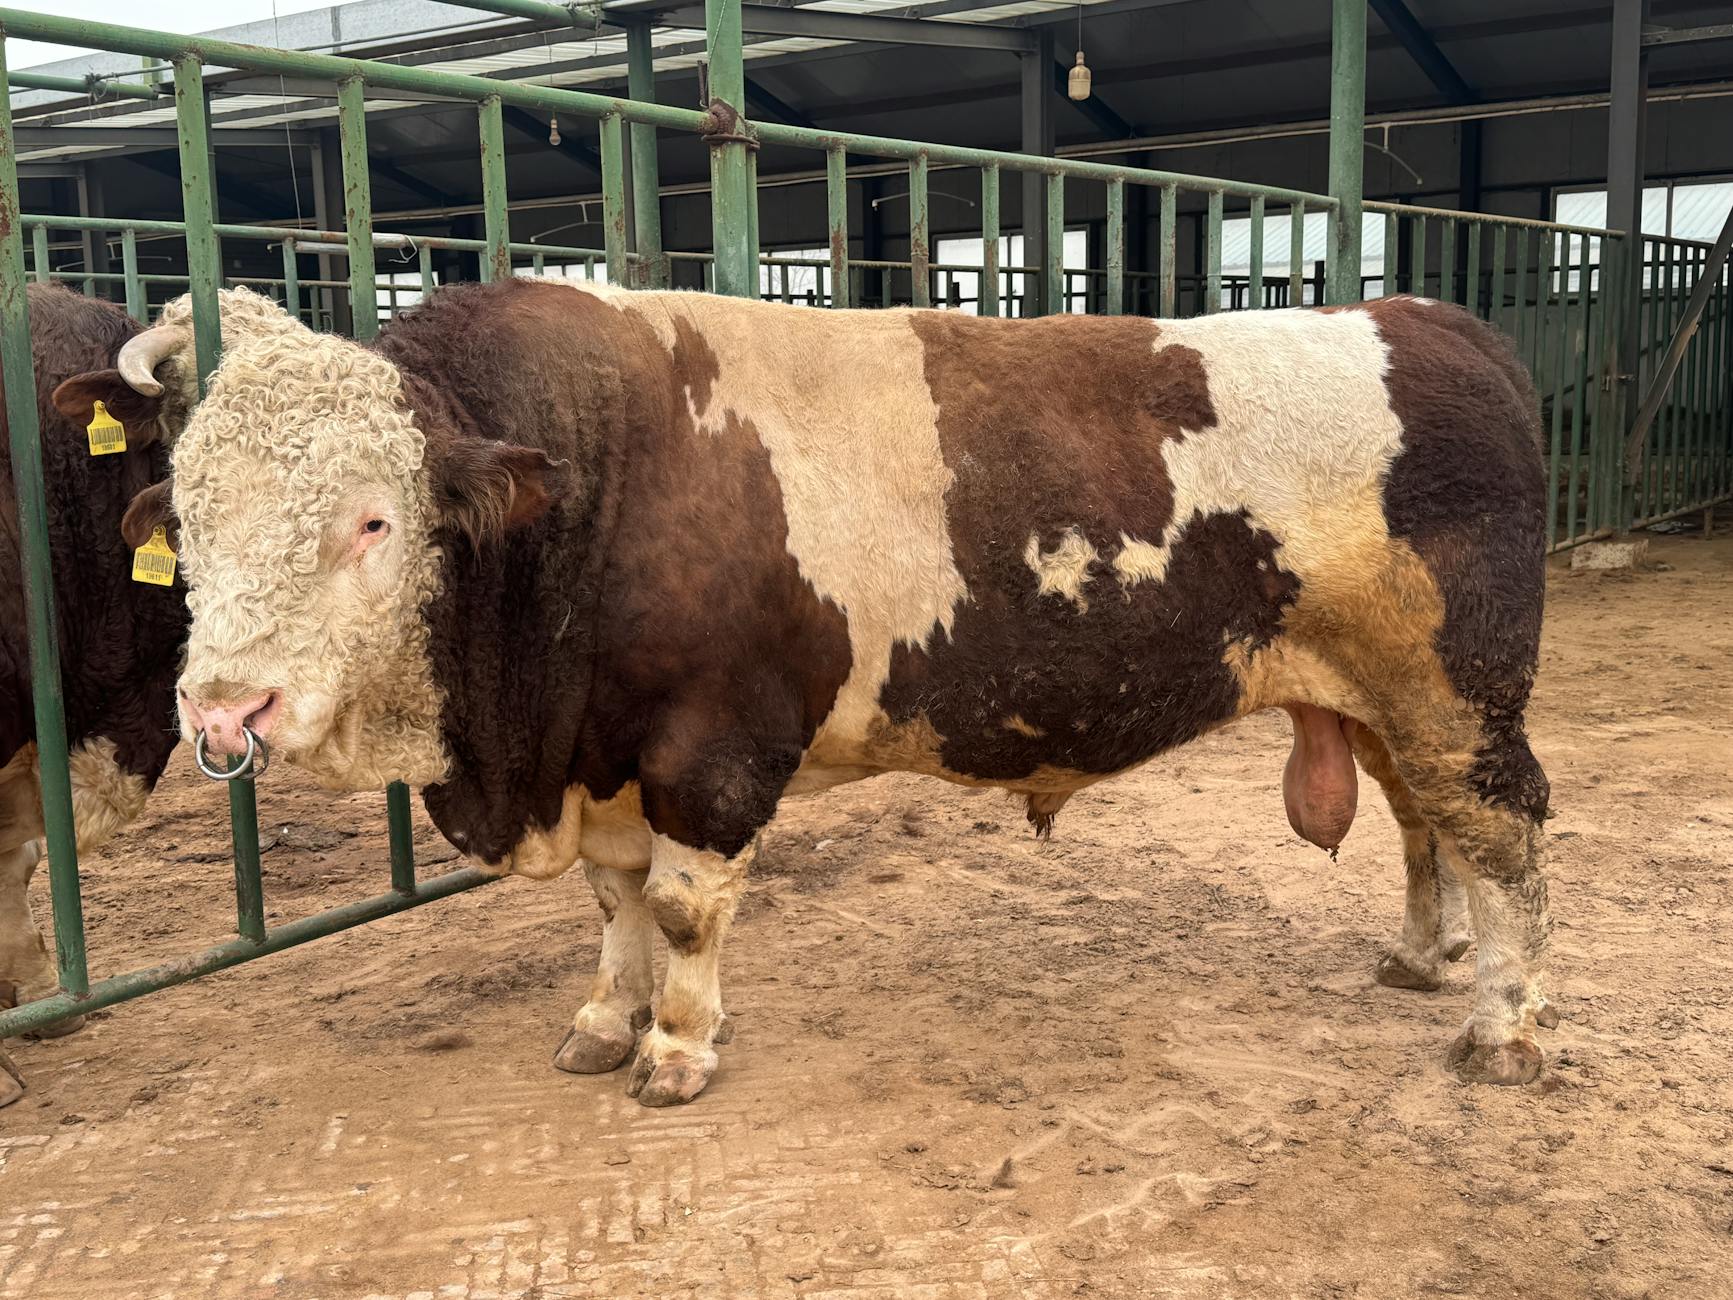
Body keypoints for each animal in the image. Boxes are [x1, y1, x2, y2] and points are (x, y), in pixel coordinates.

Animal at [102, 279, 1552, 1108]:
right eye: (189, 518)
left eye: (372, 522)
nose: (223, 712)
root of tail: (1431, 321)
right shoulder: (604, 754)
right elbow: (614, 905)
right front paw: (604, 1018)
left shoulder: (710, 745)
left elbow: (681, 907)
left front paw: (676, 1047)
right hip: (1379, 698)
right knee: (1426, 825)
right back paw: (1424, 957)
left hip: (1457, 693)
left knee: (1503, 833)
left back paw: (1511, 1028)